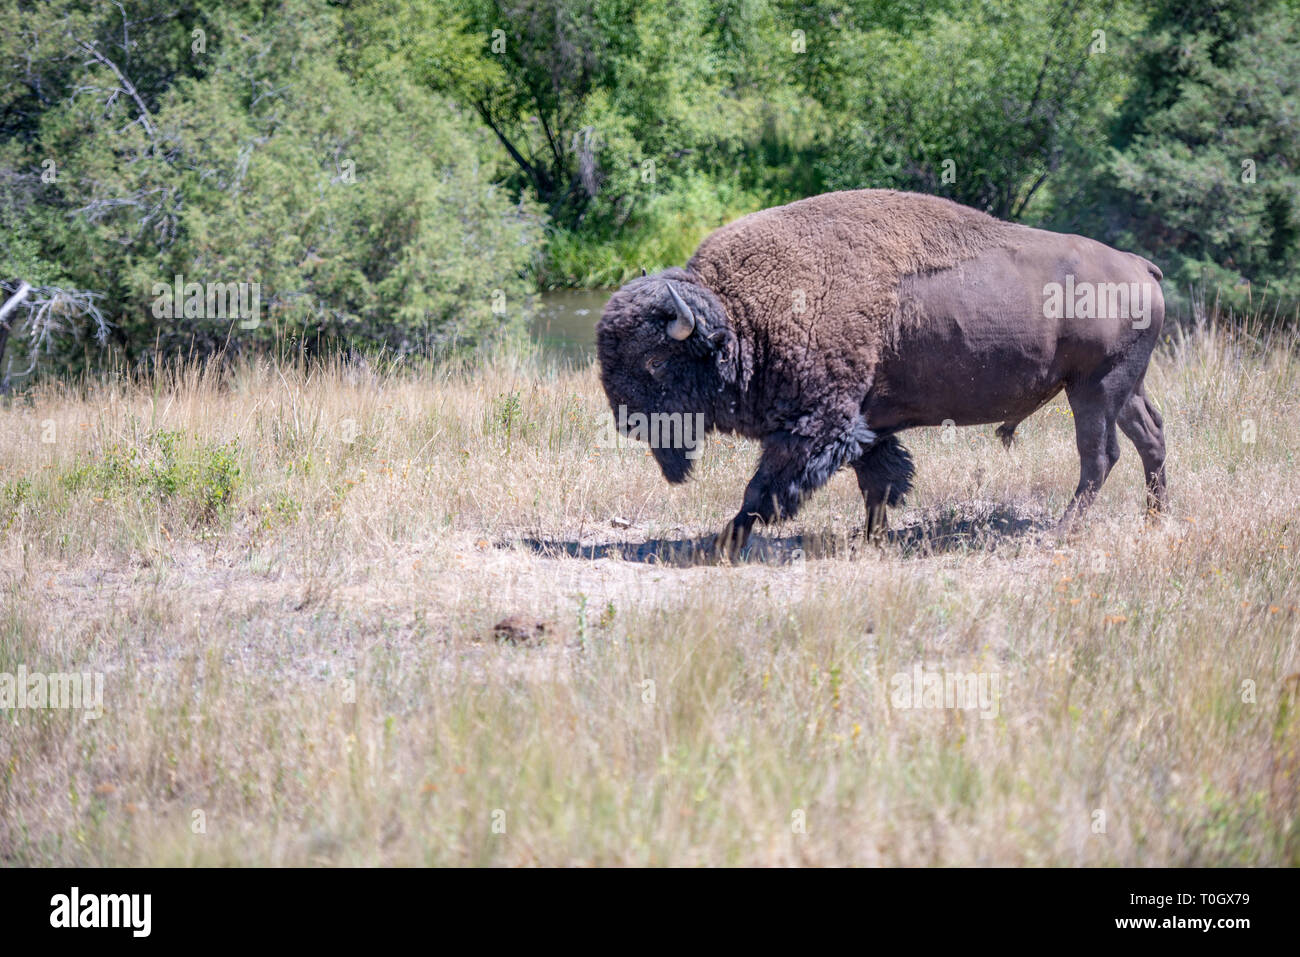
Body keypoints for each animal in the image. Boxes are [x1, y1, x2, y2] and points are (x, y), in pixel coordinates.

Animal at [596, 189, 1167, 556]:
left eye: (654, 362)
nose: (628, 422)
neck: (743, 317)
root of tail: (1139, 265)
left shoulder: (815, 427)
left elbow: (764, 490)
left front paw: (723, 543)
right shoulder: (866, 425)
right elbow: (879, 481)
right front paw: (871, 539)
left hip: (1094, 389)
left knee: (1100, 456)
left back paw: (1062, 532)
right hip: (1122, 388)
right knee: (1151, 439)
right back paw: (1154, 518)